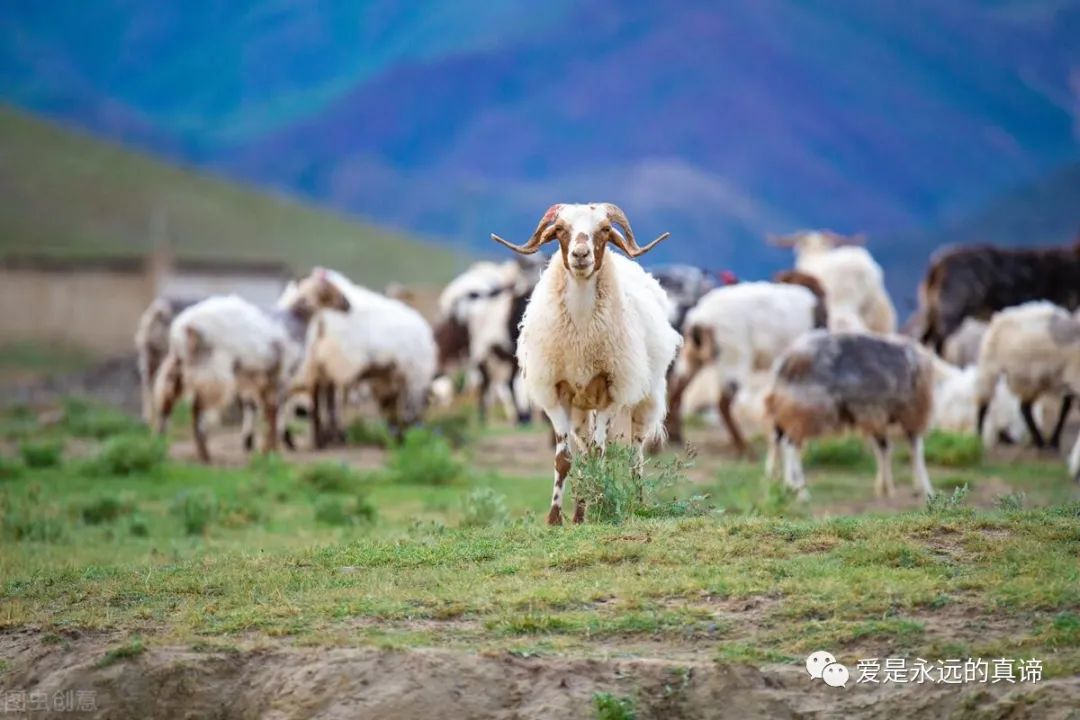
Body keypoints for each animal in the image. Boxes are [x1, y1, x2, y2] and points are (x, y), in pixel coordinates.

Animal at [492, 202, 678, 524]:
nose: (580, 255)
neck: (580, 335)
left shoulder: (609, 394)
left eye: (604, 229)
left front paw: (601, 507)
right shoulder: (557, 394)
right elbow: (565, 459)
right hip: (580, 410)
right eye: (559, 229)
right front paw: (556, 518)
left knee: (635, 455)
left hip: (645, 399)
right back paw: (580, 512)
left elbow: (599, 454)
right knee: (584, 453)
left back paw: (637, 503)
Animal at [980, 302, 1080, 451]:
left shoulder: (1065, 381)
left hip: (1035, 380)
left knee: (1025, 408)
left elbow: (1065, 408)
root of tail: (999, 316)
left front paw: (1054, 442)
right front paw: (1053, 442)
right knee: (985, 403)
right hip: (992, 367)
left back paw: (1039, 440)